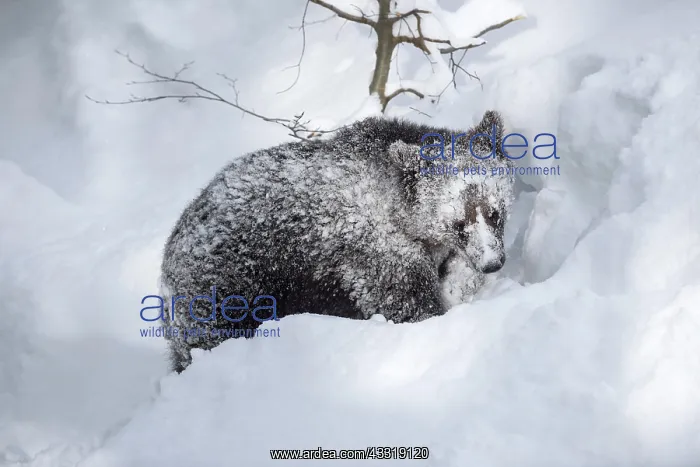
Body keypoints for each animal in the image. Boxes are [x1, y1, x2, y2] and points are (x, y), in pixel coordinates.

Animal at [159, 110, 515, 373]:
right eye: (459, 221)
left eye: (495, 212)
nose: (492, 262)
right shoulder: (375, 255)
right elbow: (409, 305)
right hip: (228, 286)